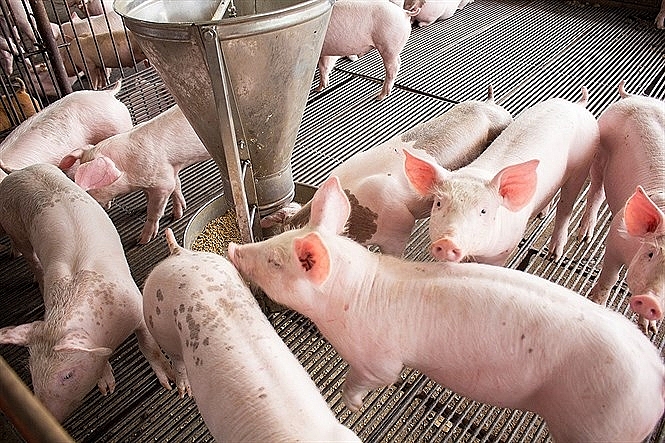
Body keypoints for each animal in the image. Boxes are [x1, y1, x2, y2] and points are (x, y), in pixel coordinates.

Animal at [0, 163, 174, 422]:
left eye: (68, 375)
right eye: (31, 372)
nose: (45, 416)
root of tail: (18, 171)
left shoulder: (135, 304)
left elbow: (149, 345)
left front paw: (170, 384)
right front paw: (107, 388)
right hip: (15, 227)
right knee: (30, 258)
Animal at [58, 105, 211, 245]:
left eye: (89, 187)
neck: (129, 170)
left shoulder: (163, 184)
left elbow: (154, 212)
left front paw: (142, 241)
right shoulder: (171, 171)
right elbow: (176, 188)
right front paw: (177, 215)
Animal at [228, 176, 665, 443]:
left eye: (275, 262)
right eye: (276, 241)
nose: (233, 249)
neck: (354, 292)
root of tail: (656, 374)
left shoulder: (379, 357)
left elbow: (372, 378)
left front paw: (352, 404)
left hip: (600, 422)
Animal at [403, 86, 599, 265]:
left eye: (484, 210)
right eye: (438, 203)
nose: (446, 241)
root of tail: (578, 105)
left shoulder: (503, 250)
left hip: (583, 163)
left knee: (566, 206)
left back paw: (555, 254)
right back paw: (542, 215)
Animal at [578, 81, 665, 335]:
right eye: (650, 253)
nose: (650, 301)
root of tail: (633, 97)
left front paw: (650, 330)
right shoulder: (617, 237)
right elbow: (609, 278)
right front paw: (597, 304)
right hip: (600, 150)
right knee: (596, 191)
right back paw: (584, 236)